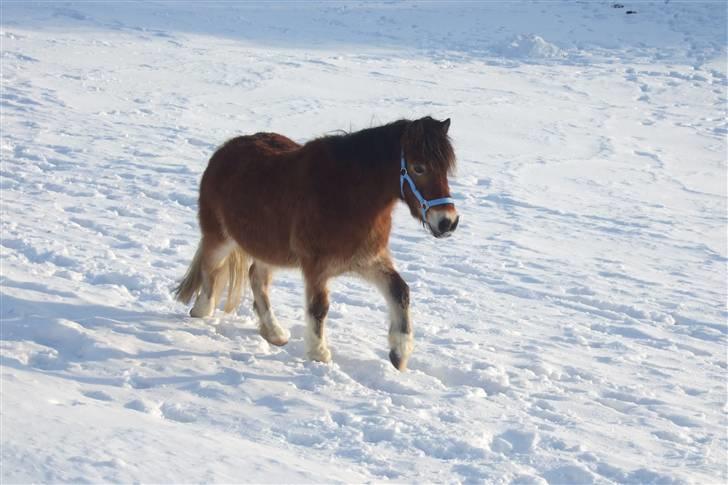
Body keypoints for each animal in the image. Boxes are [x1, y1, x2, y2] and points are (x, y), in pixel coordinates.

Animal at [176, 117, 458, 370]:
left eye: (445, 169)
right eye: (418, 167)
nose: (448, 222)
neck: (348, 195)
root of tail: (223, 152)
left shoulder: (368, 260)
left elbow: (400, 291)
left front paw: (400, 353)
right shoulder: (316, 267)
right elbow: (319, 308)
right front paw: (319, 354)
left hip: (268, 249)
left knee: (257, 278)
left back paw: (274, 333)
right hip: (220, 238)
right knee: (210, 268)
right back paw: (202, 309)